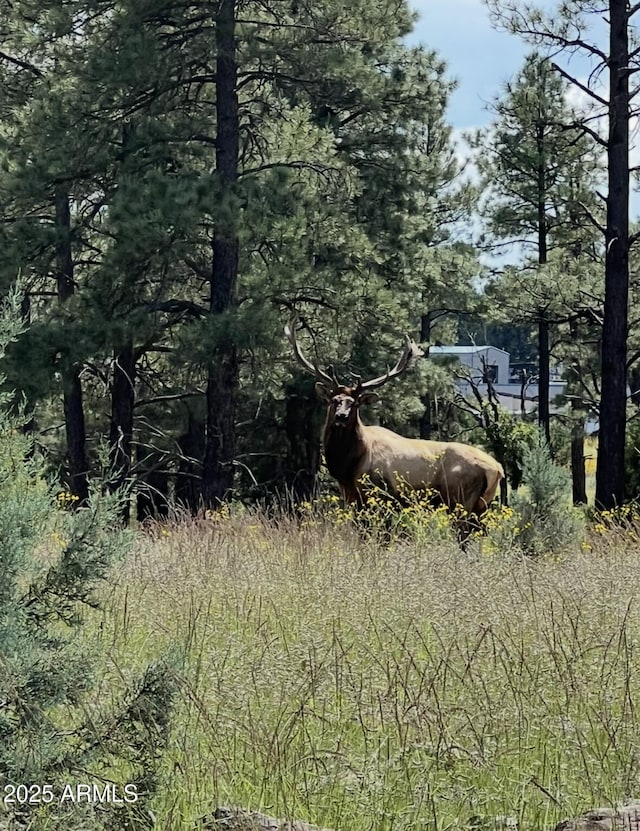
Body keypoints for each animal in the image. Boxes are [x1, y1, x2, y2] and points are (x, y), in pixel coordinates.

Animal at [284, 318, 504, 532]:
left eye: (354, 403)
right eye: (334, 400)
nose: (341, 416)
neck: (348, 466)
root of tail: (497, 469)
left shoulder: (380, 494)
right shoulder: (351, 496)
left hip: (460, 499)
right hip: (481, 506)